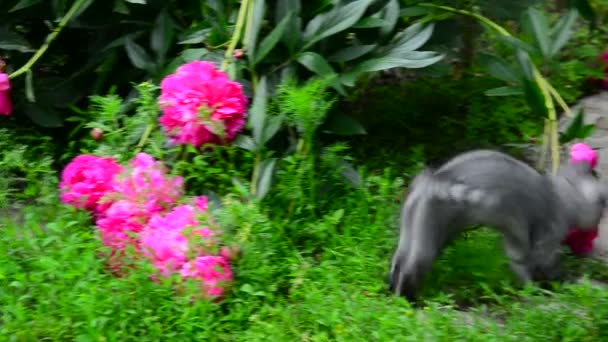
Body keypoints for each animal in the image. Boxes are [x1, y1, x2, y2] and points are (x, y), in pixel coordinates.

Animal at [388, 148, 604, 300]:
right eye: (601, 211)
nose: (596, 230)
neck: (561, 195)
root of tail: (436, 178)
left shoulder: (516, 241)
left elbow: (521, 264)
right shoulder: (542, 241)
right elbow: (541, 267)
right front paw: (543, 289)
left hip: (415, 228)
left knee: (399, 261)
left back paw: (393, 293)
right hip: (428, 236)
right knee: (411, 267)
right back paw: (407, 299)